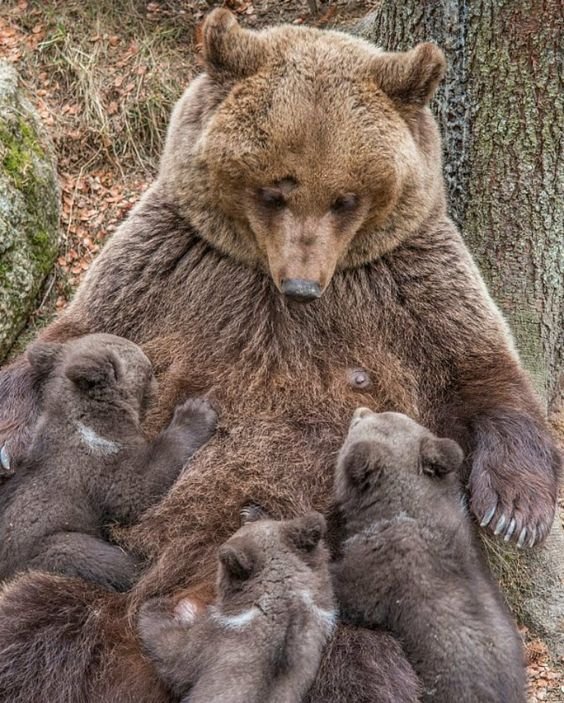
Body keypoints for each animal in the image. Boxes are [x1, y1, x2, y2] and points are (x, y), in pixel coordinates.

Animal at [0, 332, 217, 592]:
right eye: (148, 369)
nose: (157, 373)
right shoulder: (101, 459)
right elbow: (137, 488)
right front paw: (196, 411)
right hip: (48, 545)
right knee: (96, 559)